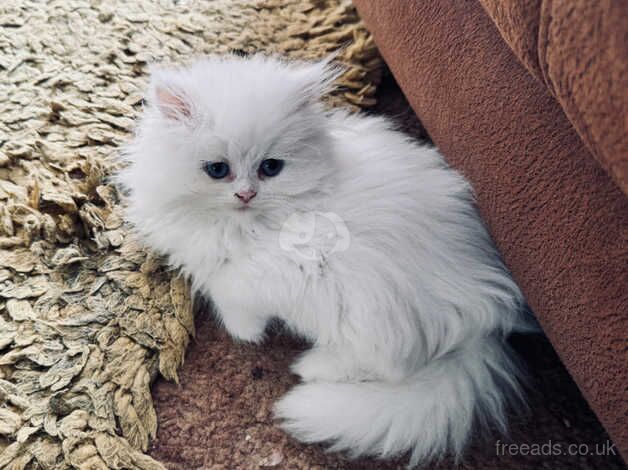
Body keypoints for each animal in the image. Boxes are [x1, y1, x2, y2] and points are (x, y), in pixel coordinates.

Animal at [118, 54, 528, 466]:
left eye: (271, 168)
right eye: (218, 170)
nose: (246, 194)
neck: (241, 224)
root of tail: (487, 323)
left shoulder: (271, 273)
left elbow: (230, 293)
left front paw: (246, 333)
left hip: (357, 305)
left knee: (386, 364)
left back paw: (309, 367)